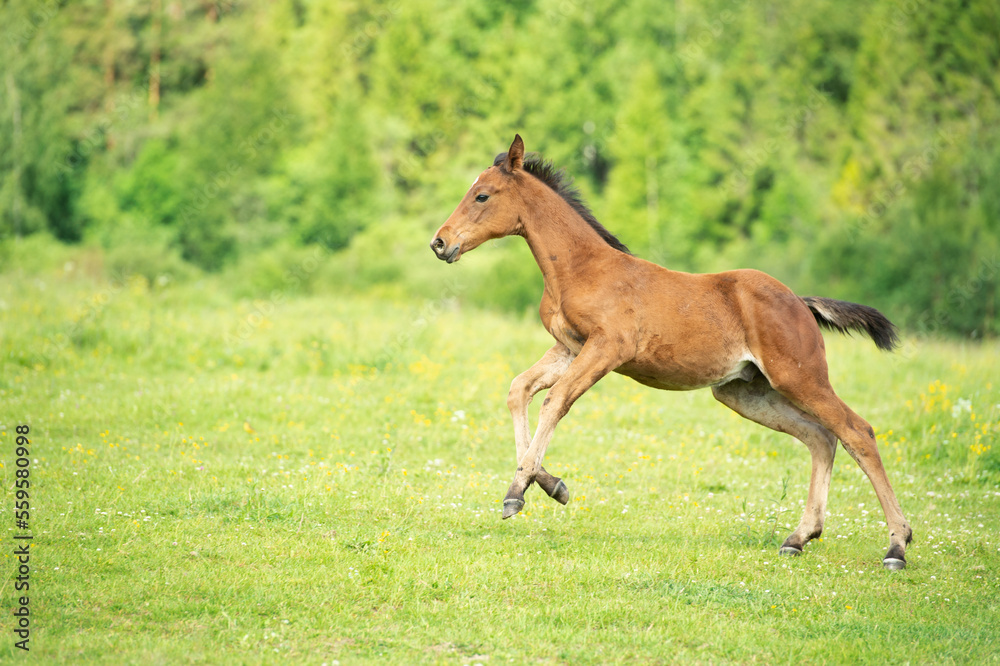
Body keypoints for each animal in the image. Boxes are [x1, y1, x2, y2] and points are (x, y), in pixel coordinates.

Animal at [430, 134, 916, 564]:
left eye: (482, 195)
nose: (440, 242)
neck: (579, 268)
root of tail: (800, 302)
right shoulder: (568, 347)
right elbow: (519, 390)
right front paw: (550, 484)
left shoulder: (607, 348)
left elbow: (556, 400)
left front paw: (517, 493)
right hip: (743, 391)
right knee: (820, 437)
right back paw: (799, 537)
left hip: (799, 375)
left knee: (857, 432)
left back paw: (897, 545)